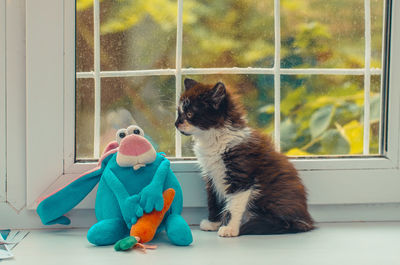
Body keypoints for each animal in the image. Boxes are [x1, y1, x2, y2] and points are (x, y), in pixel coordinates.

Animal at [177, 77, 314, 236]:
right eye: (178, 112)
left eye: (189, 114)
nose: (176, 124)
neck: (213, 139)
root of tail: (307, 220)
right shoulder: (211, 176)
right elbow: (214, 200)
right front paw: (213, 223)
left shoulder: (241, 176)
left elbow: (233, 206)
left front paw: (229, 228)